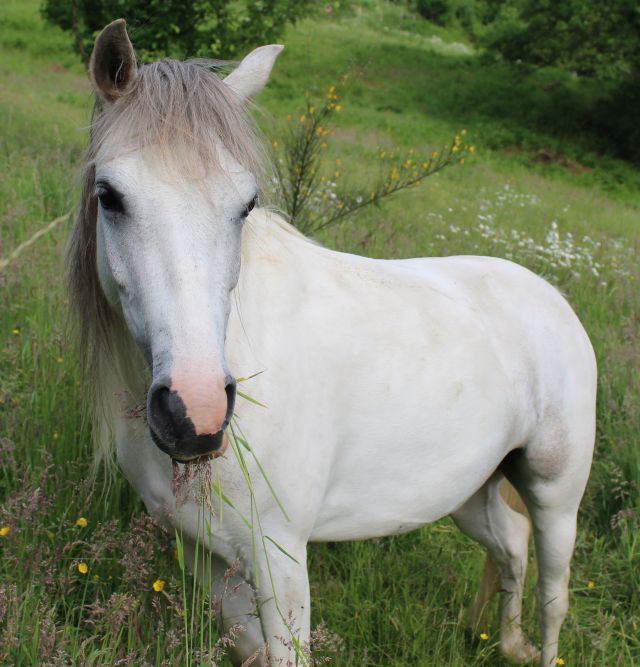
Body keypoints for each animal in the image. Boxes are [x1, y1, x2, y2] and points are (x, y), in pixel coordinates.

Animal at [71, 18, 600, 664]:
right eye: (109, 195)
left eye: (246, 204)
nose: (195, 414)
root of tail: (550, 296)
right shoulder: (207, 558)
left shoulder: (278, 560)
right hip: (472, 493)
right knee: (513, 546)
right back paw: (506, 642)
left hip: (557, 496)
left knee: (554, 592)